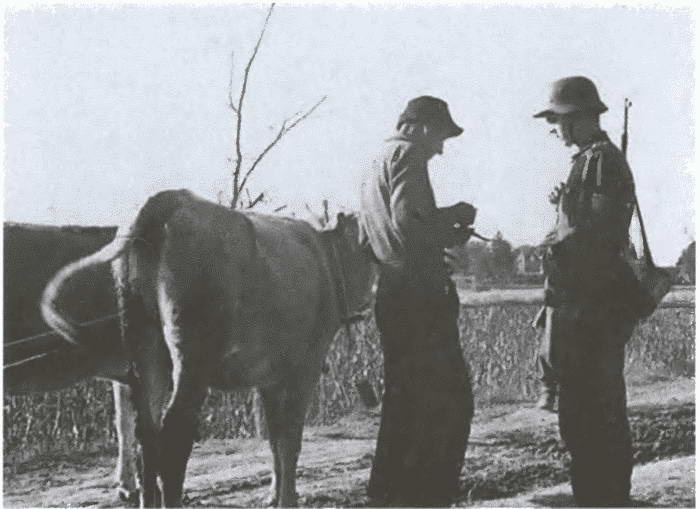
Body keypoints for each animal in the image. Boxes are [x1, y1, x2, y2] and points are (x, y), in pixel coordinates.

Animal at [41, 189, 378, 506]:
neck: (326, 257)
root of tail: (173, 197)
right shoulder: (304, 367)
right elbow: (290, 440)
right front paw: (287, 500)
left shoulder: (269, 378)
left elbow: (275, 438)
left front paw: (273, 495)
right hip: (192, 358)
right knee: (173, 437)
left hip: (146, 349)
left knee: (147, 437)